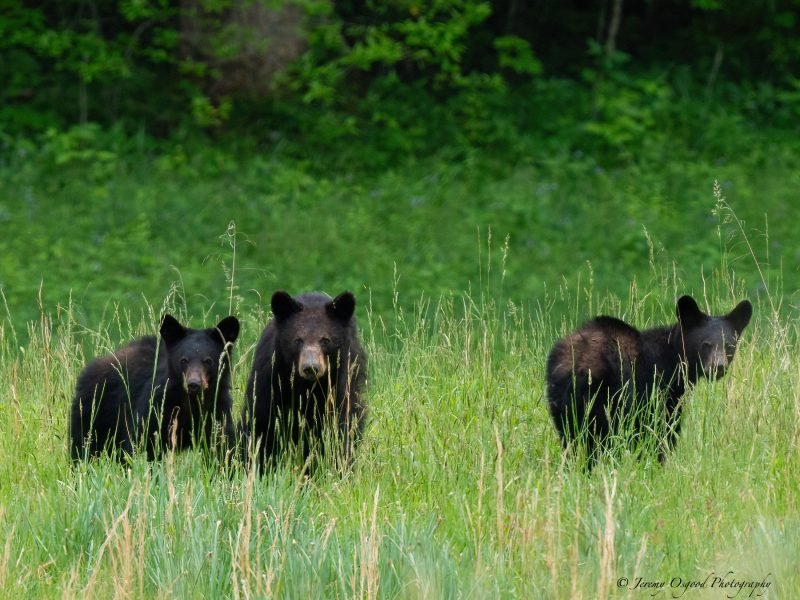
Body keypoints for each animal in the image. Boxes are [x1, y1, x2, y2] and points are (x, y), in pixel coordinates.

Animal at [70, 314, 240, 462]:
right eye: (183, 360)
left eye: (208, 360)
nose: (193, 384)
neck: (190, 402)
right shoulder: (157, 405)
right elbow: (143, 442)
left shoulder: (217, 409)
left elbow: (221, 445)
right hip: (95, 410)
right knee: (84, 444)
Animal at [240, 290, 367, 470]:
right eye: (297, 340)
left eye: (325, 340)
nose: (311, 367)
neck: (308, 385)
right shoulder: (271, 377)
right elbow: (261, 419)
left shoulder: (341, 382)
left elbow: (341, 424)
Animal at [545, 295, 752, 464]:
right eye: (705, 344)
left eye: (729, 345)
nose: (718, 367)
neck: (675, 360)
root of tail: (579, 365)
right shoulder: (658, 392)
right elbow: (661, 430)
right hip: (609, 398)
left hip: (561, 400)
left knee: (571, 438)